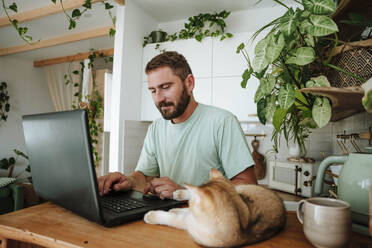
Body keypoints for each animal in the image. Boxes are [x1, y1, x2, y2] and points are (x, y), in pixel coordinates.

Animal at [144, 168, 286, 247]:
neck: (241, 222)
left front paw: (152, 215)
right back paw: (178, 193)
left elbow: (171, 218)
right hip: (239, 188)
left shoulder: (191, 223)